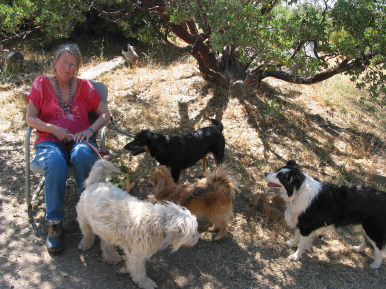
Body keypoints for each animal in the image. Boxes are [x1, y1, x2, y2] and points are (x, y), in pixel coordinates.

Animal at [76, 160, 199, 288]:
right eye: (193, 232)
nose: (197, 239)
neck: (159, 224)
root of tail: (97, 182)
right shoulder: (136, 255)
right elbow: (138, 271)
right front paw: (145, 283)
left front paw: (125, 269)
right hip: (84, 219)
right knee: (87, 233)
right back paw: (86, 244)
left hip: (106, 228)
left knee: (105, 242)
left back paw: (111, 257)